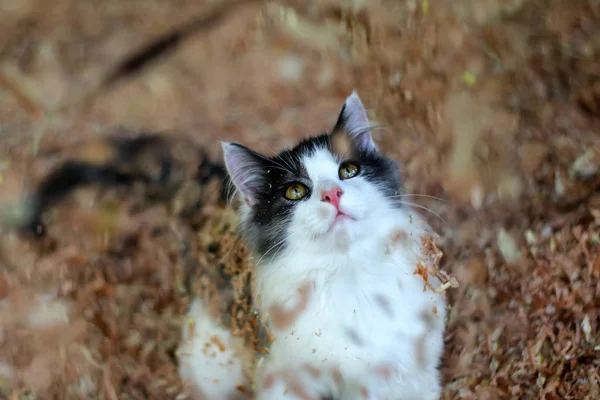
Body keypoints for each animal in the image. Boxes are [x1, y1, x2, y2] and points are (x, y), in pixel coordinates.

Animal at [178, 90, 446, 400]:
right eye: (295, 191)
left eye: (349, 170)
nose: (333, 193)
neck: (347, 271)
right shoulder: (282, 379)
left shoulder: (413, 375)